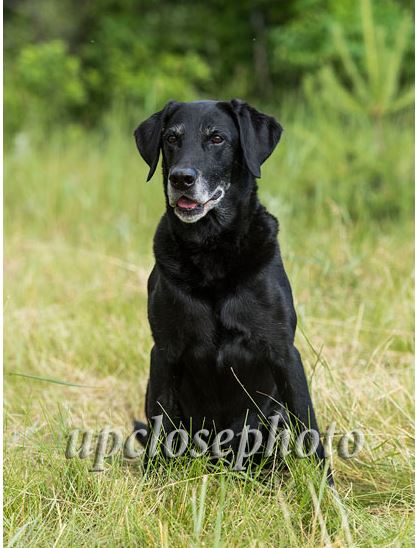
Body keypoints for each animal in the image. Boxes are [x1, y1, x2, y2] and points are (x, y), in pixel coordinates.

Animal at [132, 100, 330, 482]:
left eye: (217, 138)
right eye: (171, 138)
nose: (181, 178)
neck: (211, 253)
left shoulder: (283, 352)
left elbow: (308, 425)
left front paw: (326, 492)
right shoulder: (164, 351)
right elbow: (161, 425)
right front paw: (151, 484)